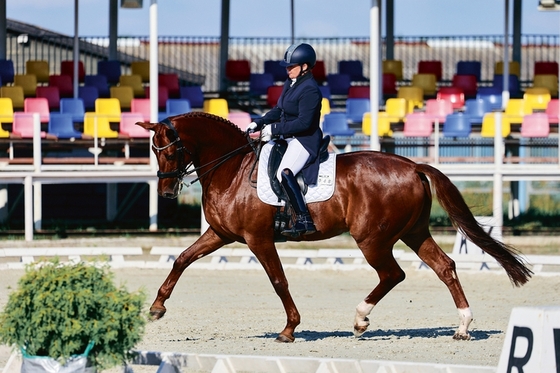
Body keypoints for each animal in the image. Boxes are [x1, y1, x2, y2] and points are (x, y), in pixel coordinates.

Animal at [138, 112, 532, 342]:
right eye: (154, 151)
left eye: (169, 151)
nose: (166, 192)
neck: (231, 169)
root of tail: (412, 165)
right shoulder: (220, 234)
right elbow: (181, 259)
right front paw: (156, 308)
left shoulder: (257, 238)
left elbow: (279, 281)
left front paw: (289, 329)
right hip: (413, 232)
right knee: (444, 267)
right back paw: (462, 326)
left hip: (372, 238)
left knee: (393, 274)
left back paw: (360, 320)